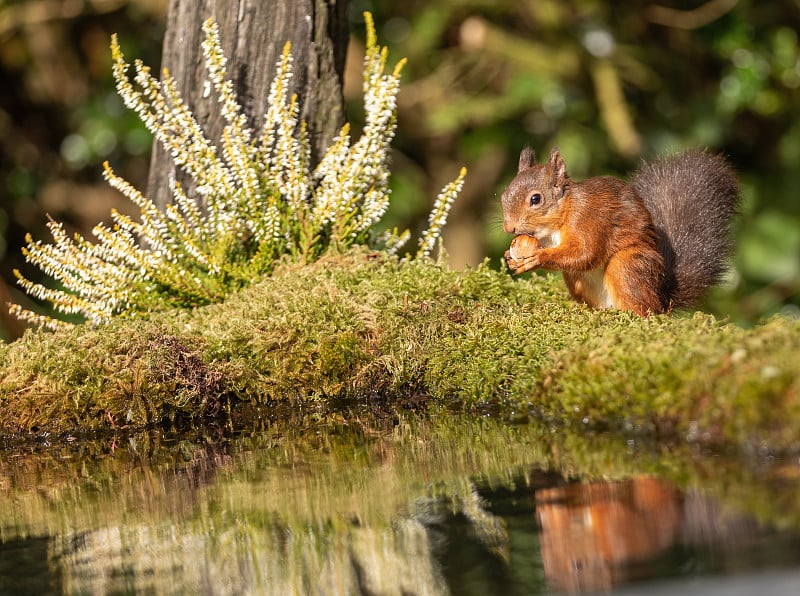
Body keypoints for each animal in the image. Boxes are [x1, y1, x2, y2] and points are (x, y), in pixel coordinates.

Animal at [504, 146, 740, 316]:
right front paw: (509, 256)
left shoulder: (588, 218)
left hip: (628, 264)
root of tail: (662, 299)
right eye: (504, 194)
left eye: (536, 199)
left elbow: (586, 253)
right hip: (575, 278)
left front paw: (537, 257)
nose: (509, 227)